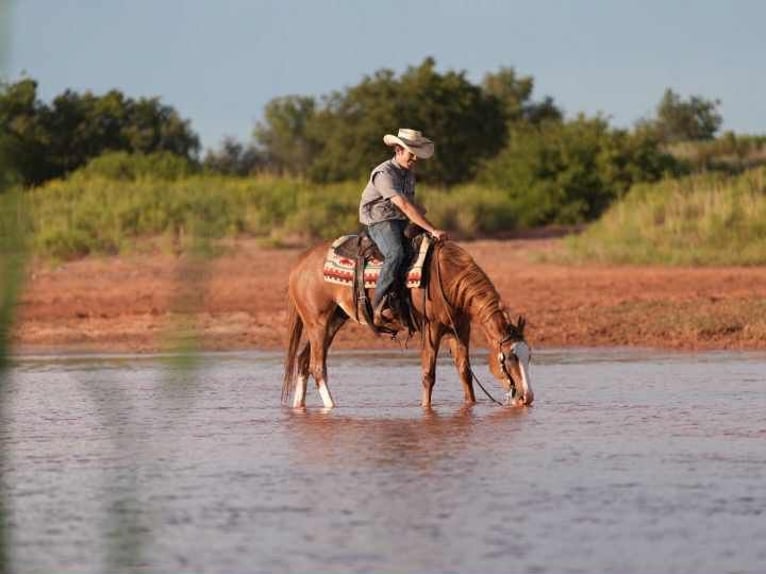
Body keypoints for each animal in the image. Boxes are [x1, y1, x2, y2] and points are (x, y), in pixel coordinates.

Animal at [282, 239, 534, 409]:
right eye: (509, 358)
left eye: (528, 356)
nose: (527, 397)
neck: (446, 278)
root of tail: (299, 264)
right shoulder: (432, 328)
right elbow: (428, 374)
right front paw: (426, 409)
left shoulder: (460, 329)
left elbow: (465, 372)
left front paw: (470, 405)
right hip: (319, 323)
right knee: (317, 366)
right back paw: (332, 407)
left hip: (333, 320)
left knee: (303, 360)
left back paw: (299, 407)